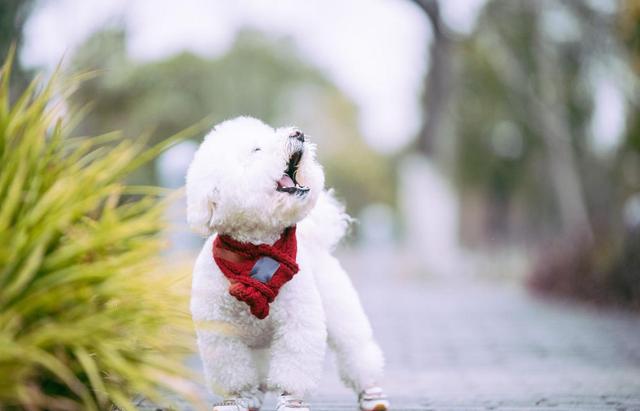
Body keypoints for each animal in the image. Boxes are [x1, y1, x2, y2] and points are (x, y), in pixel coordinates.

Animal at [185, 116, 390, 411]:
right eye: (257, 150)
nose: (298, 134)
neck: (255, 250)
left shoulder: (297, 323)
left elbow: (294, 366)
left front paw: (291, 401)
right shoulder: (221, 332)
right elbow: (233, 372)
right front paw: (236, 398)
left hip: (340, 312)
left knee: (357, 351)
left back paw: (372, 393)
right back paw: (253, 396)